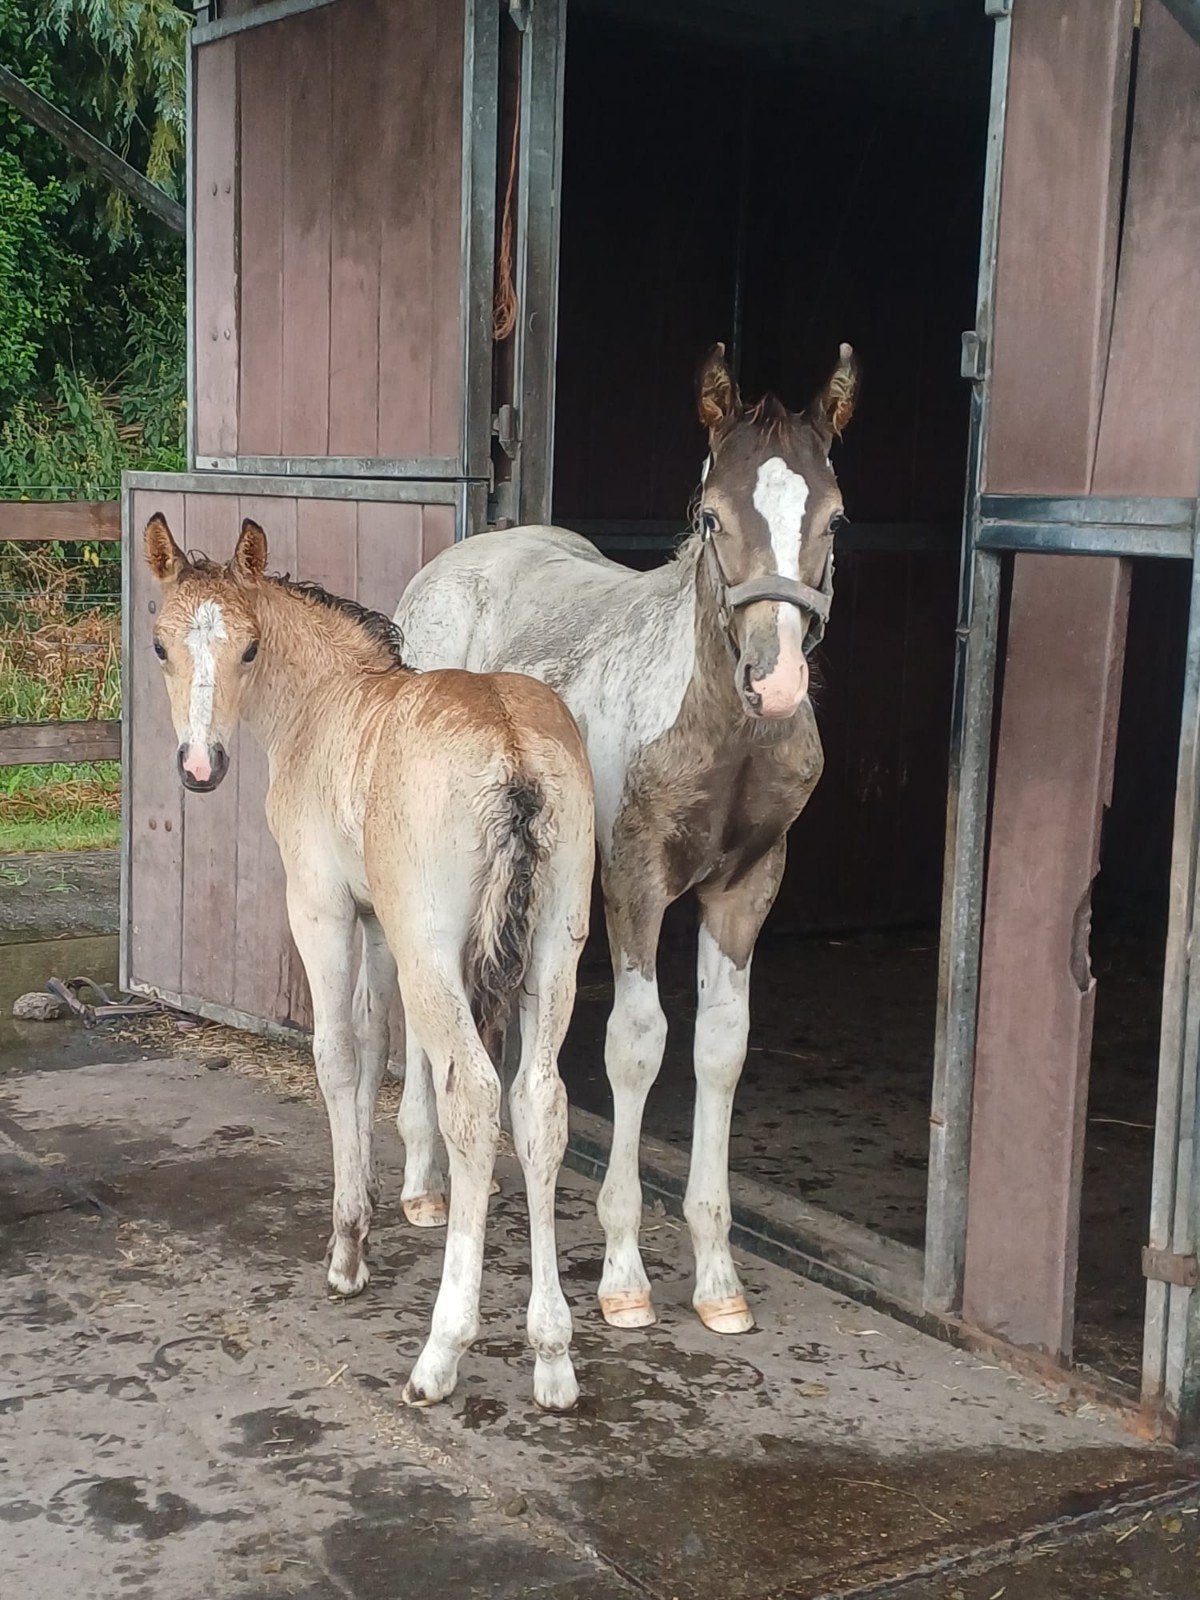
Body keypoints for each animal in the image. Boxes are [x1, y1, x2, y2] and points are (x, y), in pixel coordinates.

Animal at [143, 513, 594, 1410]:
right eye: (161, 646)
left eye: (250, 649)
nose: (201, 767)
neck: (327, 703)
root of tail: (514, 751)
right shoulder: (381, 924)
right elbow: (384, 1040)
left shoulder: (322, 907)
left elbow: (339, 1053)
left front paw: (349, 1244)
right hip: (554, 945)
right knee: (540, 1103)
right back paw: (553, 1356)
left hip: (436, 945)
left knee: (476, 1098)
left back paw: (443, 1351)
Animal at [394, 342, 858, 1336]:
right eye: (710, 515)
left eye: (835, 516)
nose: (776, 683)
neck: (721, 732)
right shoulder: (635, 881)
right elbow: (637, 1044)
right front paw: (622, 1272)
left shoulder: (748, 885)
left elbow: (721, 1045)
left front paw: (718, 1275)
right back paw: (422, 1183)